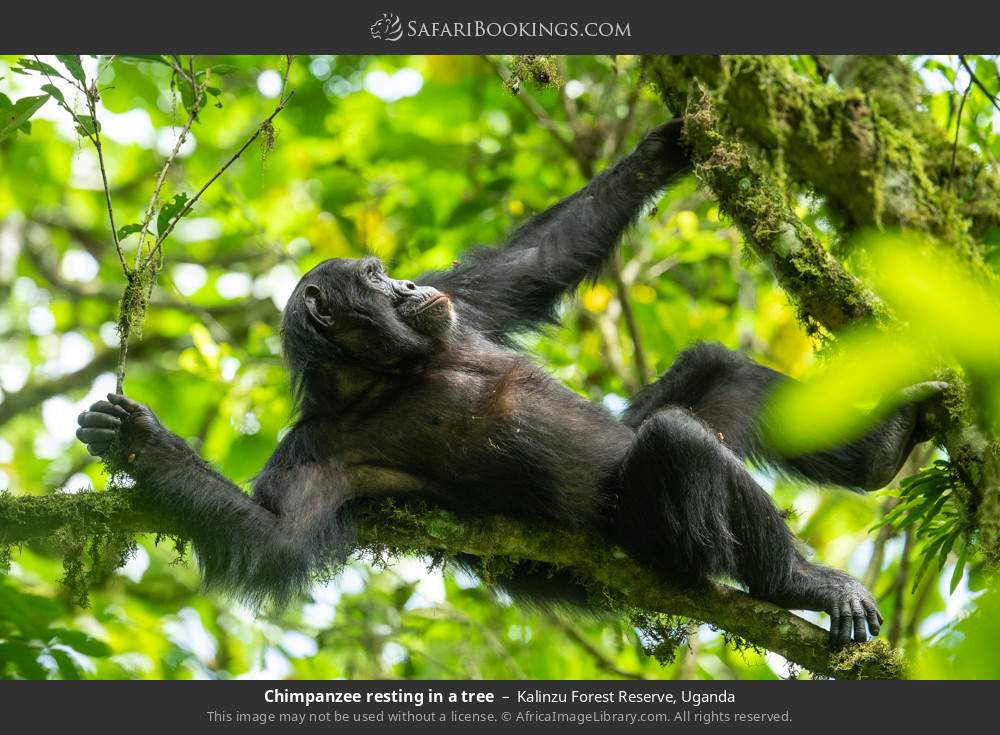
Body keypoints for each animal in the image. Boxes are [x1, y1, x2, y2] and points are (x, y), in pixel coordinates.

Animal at [76, 119, 936, 644]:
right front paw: (141, 442)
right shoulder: (316, 450)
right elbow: (274, 538)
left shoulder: (465, 304)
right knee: (678, 442)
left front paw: (668, 145)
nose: (407, 283)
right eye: (373, 279)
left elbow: (538, 259)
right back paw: (804, 582)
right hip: (652, 540)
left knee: (714, 372)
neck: (391, 370)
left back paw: (881, 450)